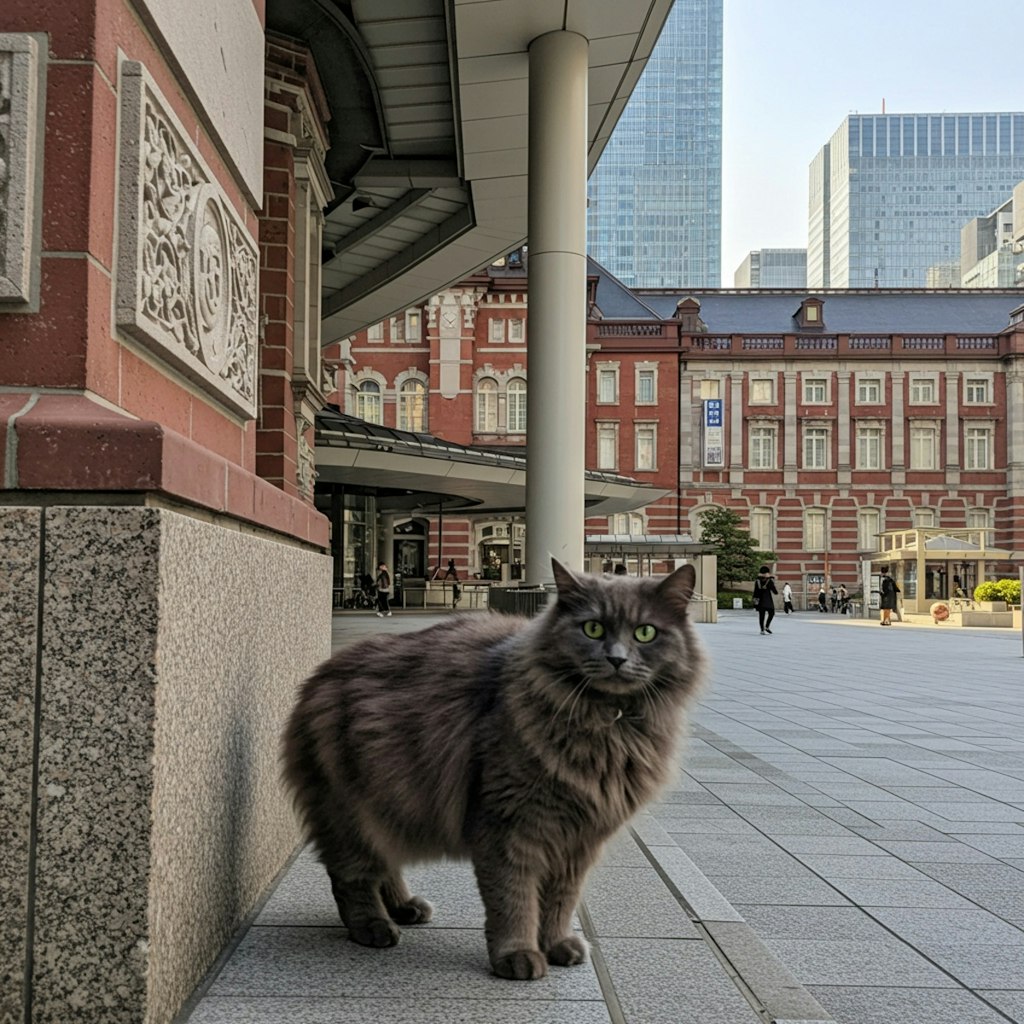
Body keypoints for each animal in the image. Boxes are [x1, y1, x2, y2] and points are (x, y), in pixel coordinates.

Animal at [284, 561, 708, 983]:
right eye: (593, 629)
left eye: (645, 632)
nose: (617, 658)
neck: (607, 724)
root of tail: (318, 675)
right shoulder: (509, 826)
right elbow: (513, 899)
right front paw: (517, 955)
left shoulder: (578, 841)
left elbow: (560, 901)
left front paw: (557, 944)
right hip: (351, 814)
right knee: (350, 877)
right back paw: (373, 927)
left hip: (389, 809)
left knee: (382, 866)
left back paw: (405, 908)